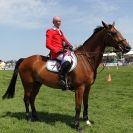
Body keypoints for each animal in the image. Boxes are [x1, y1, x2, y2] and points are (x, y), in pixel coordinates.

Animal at [2, 21, 131, 130]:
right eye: (113, 33)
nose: (128, 47)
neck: (86, 59)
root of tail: (25, 59)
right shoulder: (80, 88)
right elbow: (78, 106)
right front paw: (77, 125)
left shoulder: (88, 87)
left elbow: (86, 103)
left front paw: (87, 121)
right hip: (28, 84)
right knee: (26, 99)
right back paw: (28, 117)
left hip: (37, 84)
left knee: (32, 98)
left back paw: (35, 116)